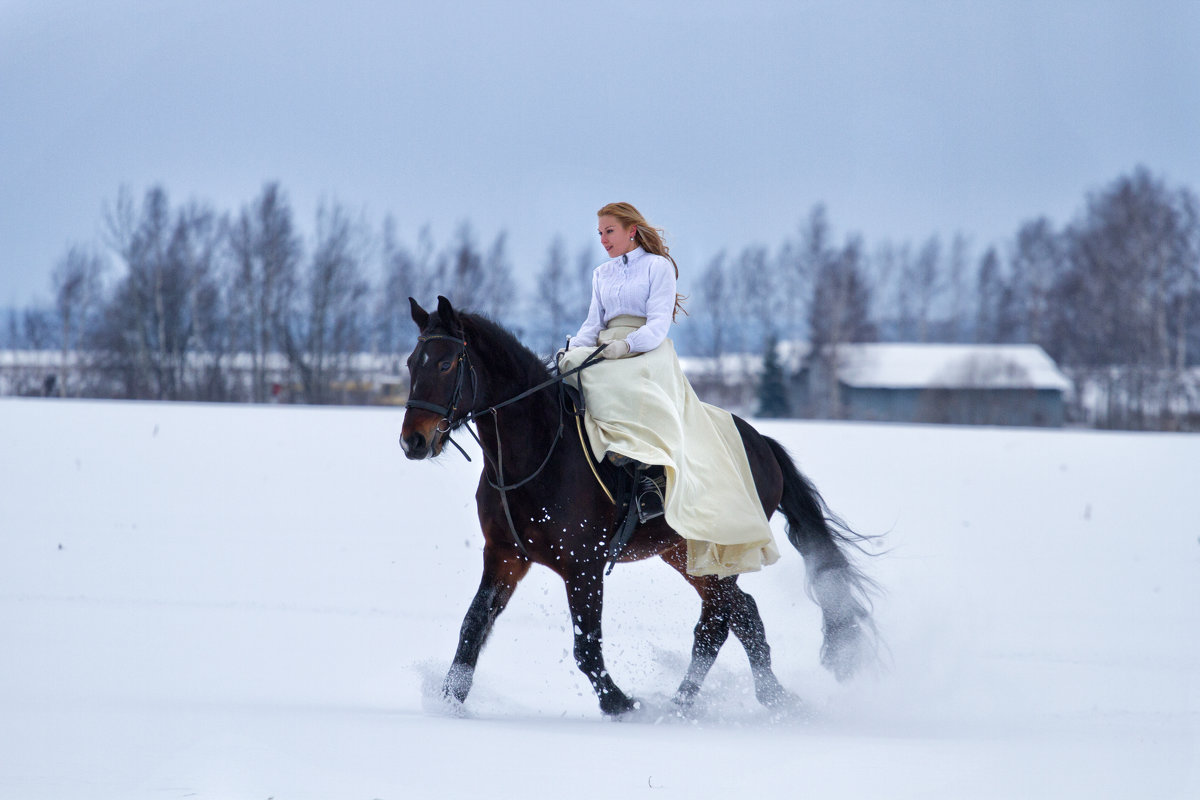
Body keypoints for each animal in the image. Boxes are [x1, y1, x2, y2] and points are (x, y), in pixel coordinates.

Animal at [398, 297, 878, 714]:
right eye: (410, 363)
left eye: (445, 363)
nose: (412, 442)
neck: (536, 453)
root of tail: (762, 443)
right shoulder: (505, 556)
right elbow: (472, 627)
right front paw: (449, 700)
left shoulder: (583, 565)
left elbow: (586, 647)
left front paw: (620, 704)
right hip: (688, 555)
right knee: (741, 615)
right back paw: (748, 699)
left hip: (716, 553)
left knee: (720, 622)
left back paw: (695, 703)